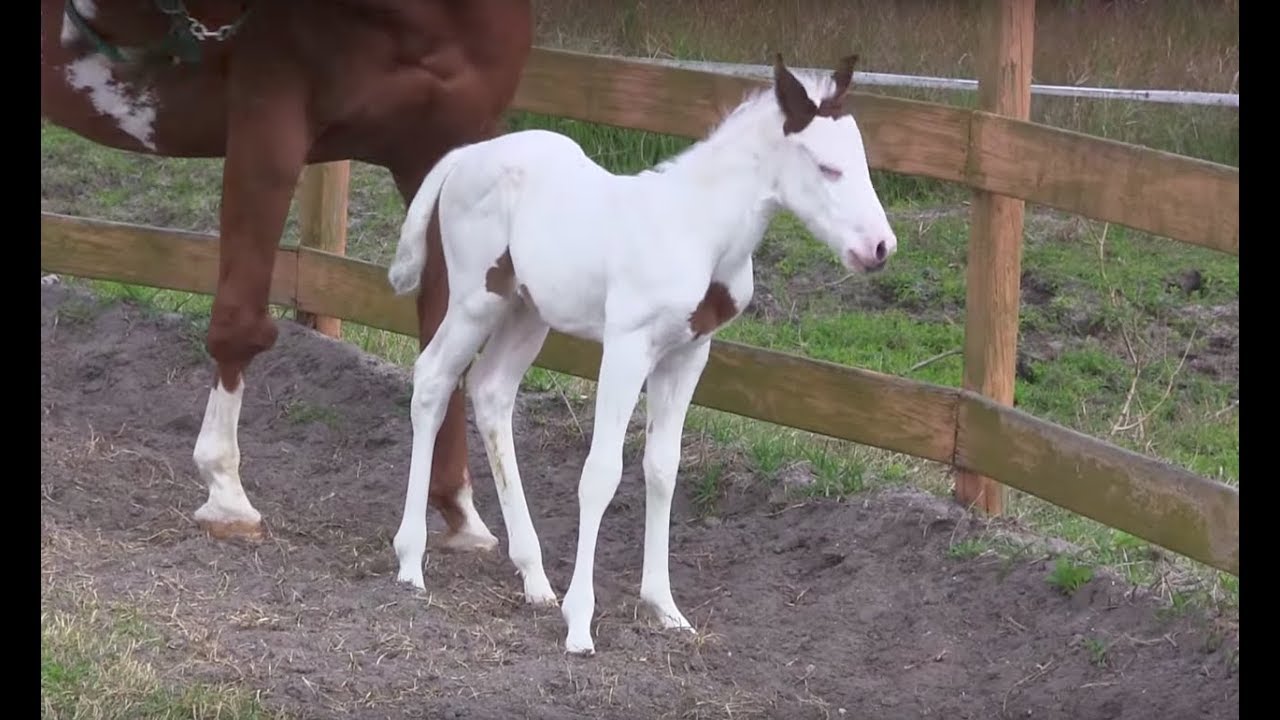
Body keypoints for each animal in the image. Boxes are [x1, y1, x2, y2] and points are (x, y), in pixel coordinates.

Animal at [38, 1, 529, 556]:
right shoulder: (269, 122)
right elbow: (240, 322)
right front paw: (226, 494)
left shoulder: (445, 148)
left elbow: (446, 351)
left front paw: (460, 511)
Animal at [384, 53, 896, 653]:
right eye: (826, 167)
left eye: (860, 162)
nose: (880, 248)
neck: (698, 232)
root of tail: (467, 155)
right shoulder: (628, 347)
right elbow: (602, 472)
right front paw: (581, 625)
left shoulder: (688, 354)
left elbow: (662, 468)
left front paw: (665, 608)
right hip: (474, 300)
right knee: (432, 380)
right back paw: (411, 563)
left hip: (527, 311)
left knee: (490, 391)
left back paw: (535, 578)